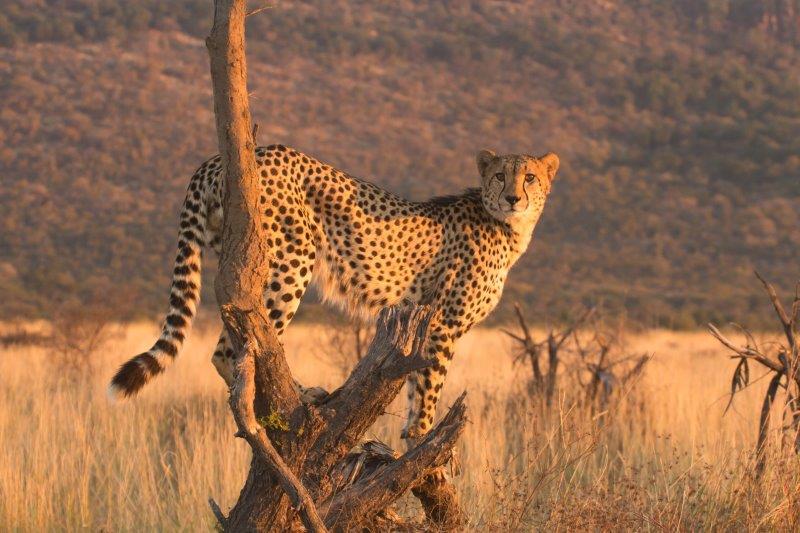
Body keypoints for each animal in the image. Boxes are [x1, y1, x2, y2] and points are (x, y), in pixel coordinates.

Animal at [109, 144, 560, 436]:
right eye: (500, 175)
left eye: (530, 177)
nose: (513, 197)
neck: (507, 227)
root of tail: (228, 156)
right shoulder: (444, 325)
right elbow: (429, 393)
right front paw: (424, 451)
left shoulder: (423, 326)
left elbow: (415, 391)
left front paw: (409, 445)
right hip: (291, 259)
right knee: (240, 346)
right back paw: (298, 398)